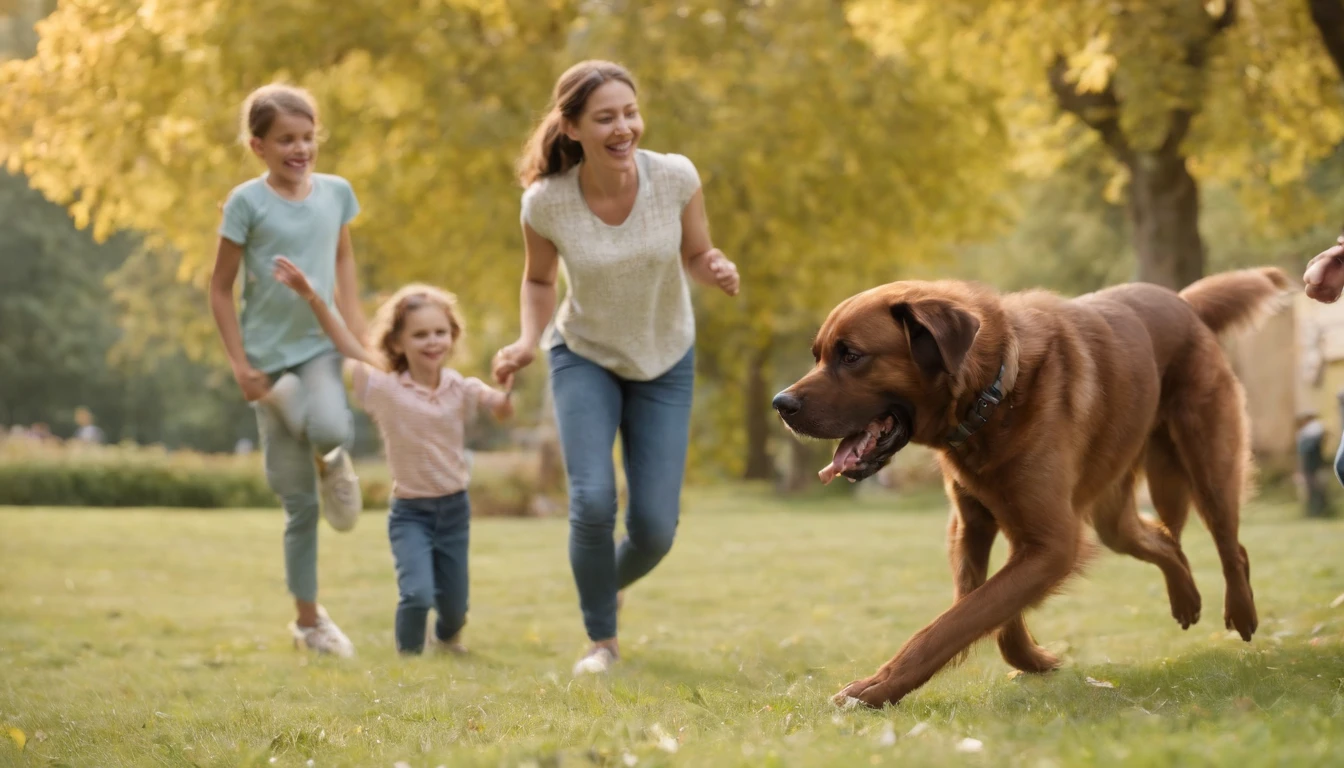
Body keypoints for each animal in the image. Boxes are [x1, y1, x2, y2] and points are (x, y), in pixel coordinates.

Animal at [779, 269, 1290, 710]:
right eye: (818, 354)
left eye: (851, 355)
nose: (780, 403)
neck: (992, 394)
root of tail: (1183, 302)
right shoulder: (974, 526)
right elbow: (980, 607)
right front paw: (1032, 659)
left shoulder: (1052, 541)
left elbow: (955, 622)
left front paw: (876, 688)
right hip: (1113, 516)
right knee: (1165, 542)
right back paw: (1186, 598)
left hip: (1207, 467)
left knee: (1231, 546)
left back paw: (1242, 613)